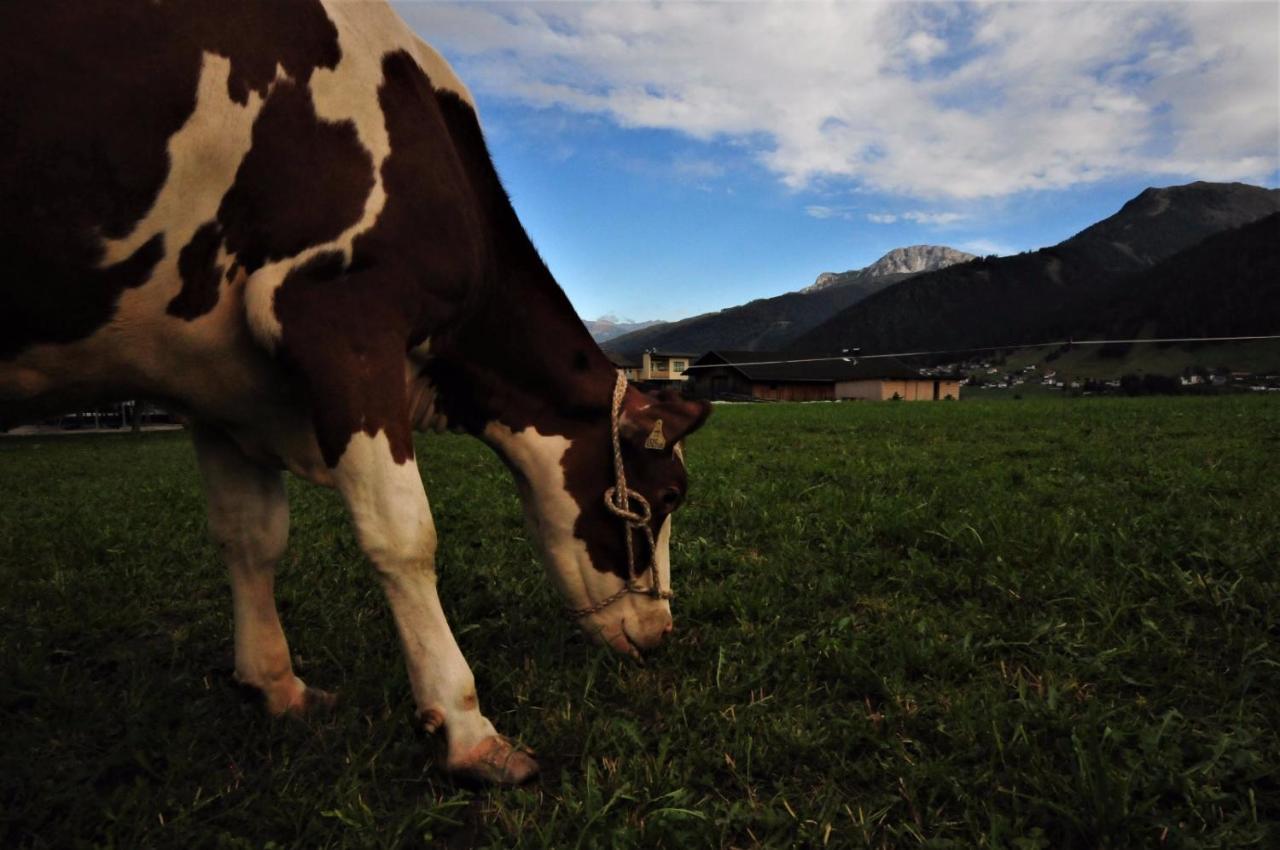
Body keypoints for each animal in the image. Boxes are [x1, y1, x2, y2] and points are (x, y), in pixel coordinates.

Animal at [0, 0, 711, 783]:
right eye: (665, 498)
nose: (660, 631)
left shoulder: (220, 387)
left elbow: (250, 534)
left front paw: (276, 685)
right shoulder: (342, 313)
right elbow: (404, 534)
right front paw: (469, 730)